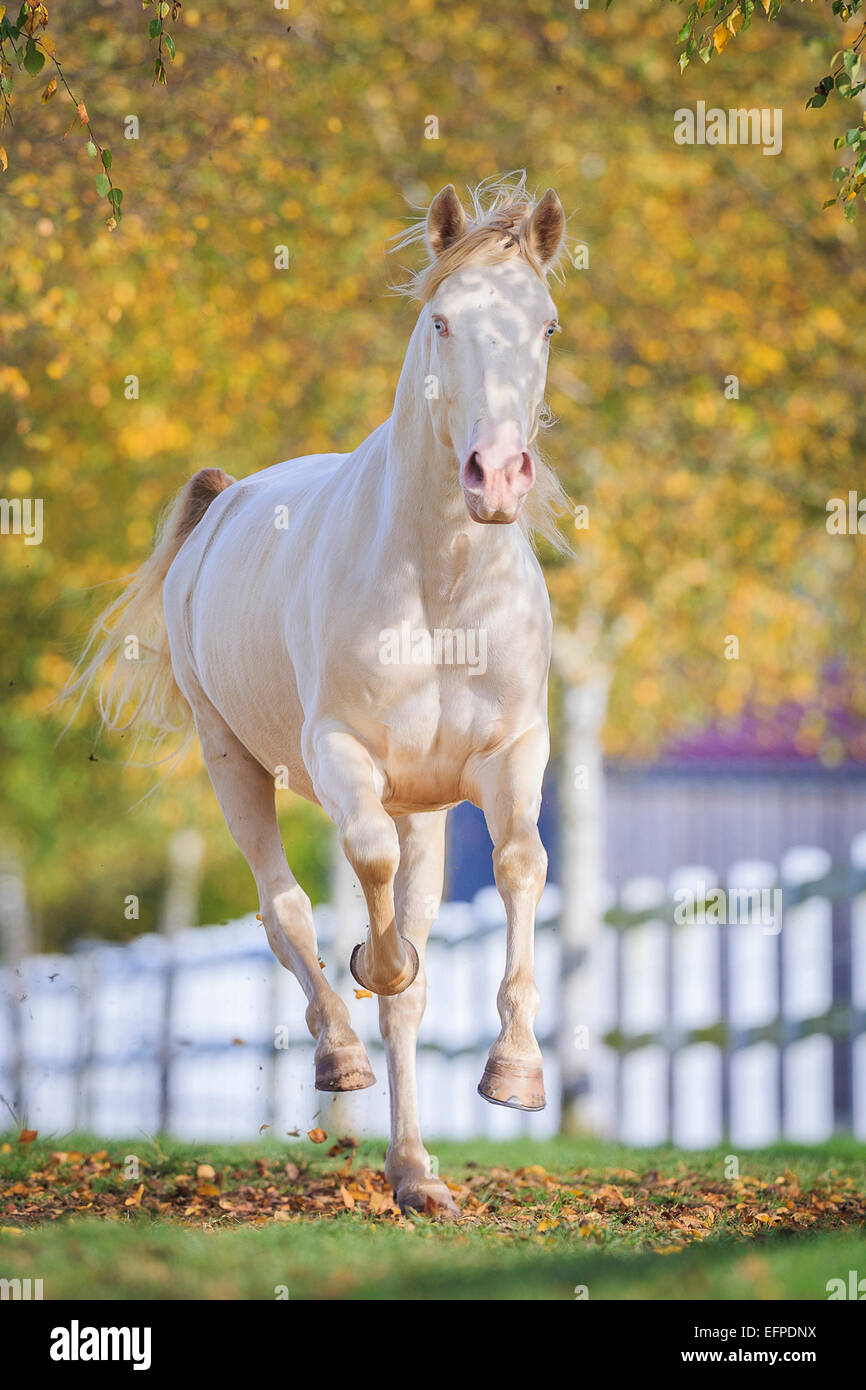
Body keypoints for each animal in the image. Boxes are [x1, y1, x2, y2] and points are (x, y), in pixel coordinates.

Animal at [74, 176, 572, 1217]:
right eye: (442, 320)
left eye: (547, 325)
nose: (497, 476)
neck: (442, 586)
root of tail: (223, 501)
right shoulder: (344, 756)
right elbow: (367, 891)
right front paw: (371, 971)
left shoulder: (513, 756)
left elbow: (519, 868)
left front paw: (515, 1073)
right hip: (232, 760)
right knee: (287, 911)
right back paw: (338, 1053)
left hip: (428, 804)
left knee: (406, 979)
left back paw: (415, 1174)